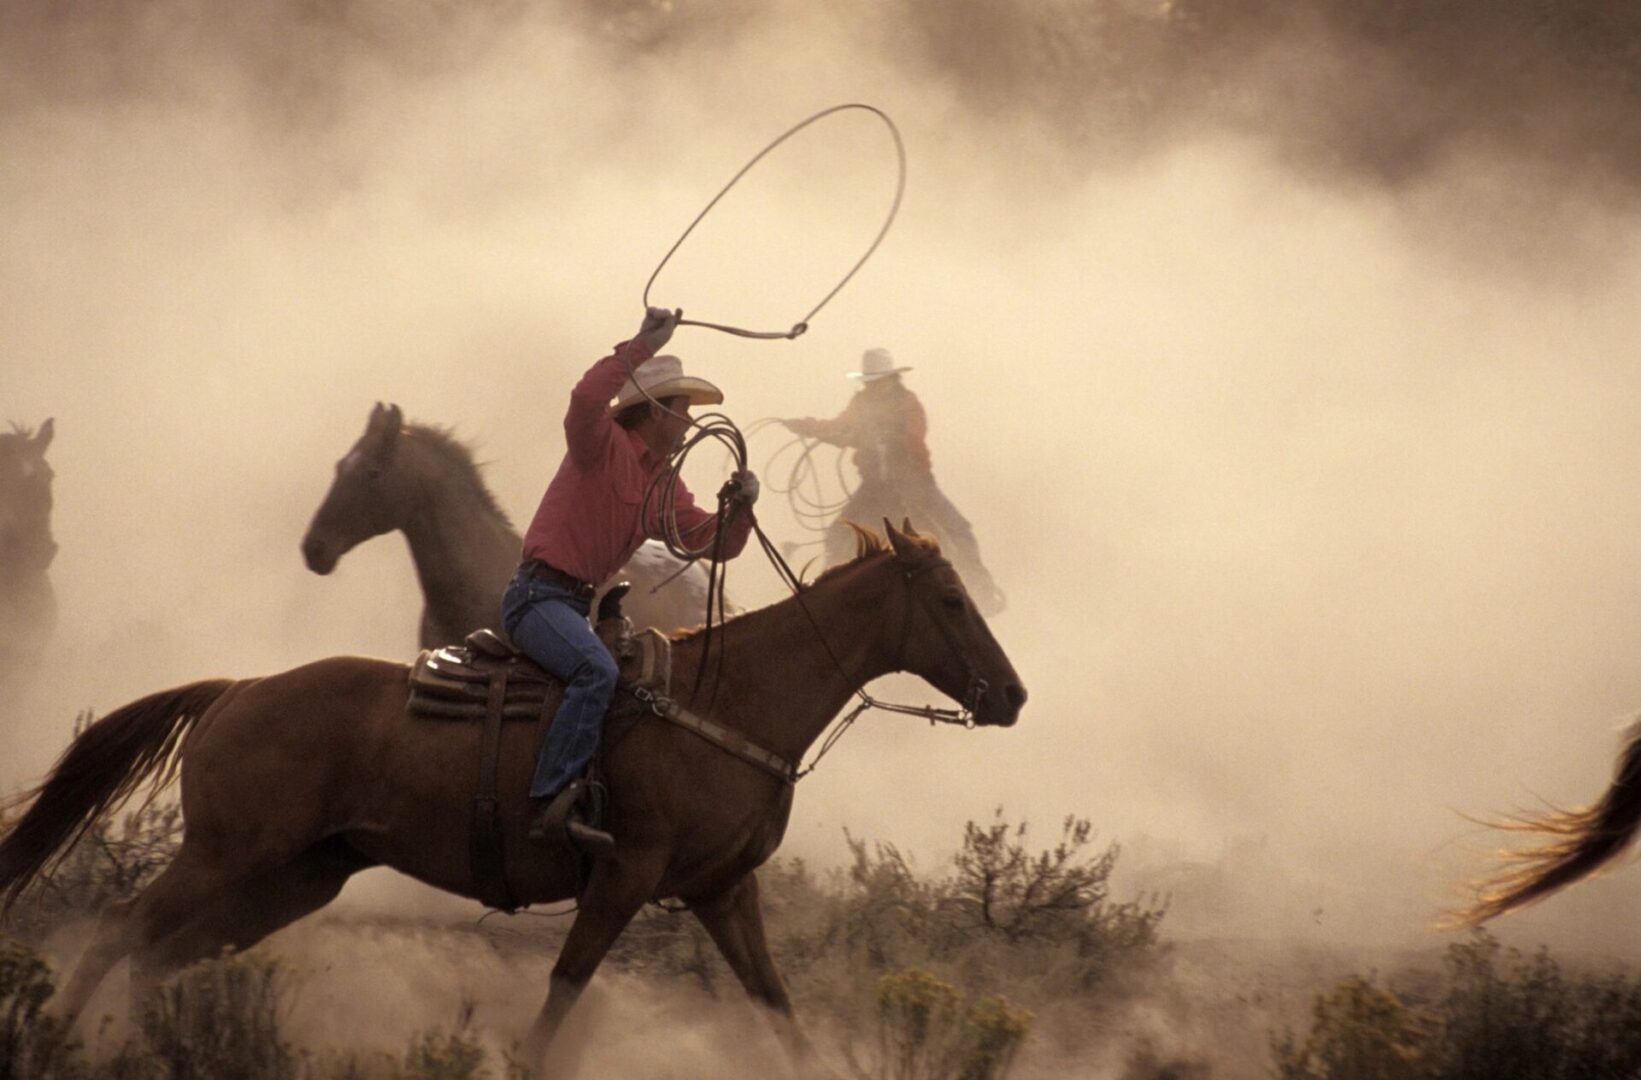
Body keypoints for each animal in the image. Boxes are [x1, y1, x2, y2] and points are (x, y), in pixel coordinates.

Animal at [0, 521, 1023, 1070]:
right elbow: (563, 992)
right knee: (123, 928)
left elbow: (777, 1008)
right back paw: (60, 1041)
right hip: (224, 856)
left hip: (295, 877)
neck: (726, 701)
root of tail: (237, 690)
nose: (1009, 696)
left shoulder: (723, 891)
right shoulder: (624, 877)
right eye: (949, 601)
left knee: (163, 952)